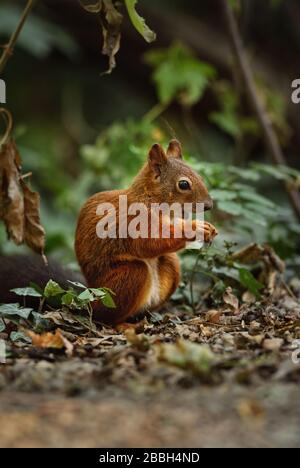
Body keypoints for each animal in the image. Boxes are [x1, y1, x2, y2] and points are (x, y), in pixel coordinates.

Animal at [74, 139, 217, 326]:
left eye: (199, 176)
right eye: (183, 184)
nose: (208, 205)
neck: (150, 199)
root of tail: (88, 294)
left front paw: (209, 228)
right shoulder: (134, 221)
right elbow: (149, 243)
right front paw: (195, 227)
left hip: (171, 266)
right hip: (122, 282)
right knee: (105, 316)